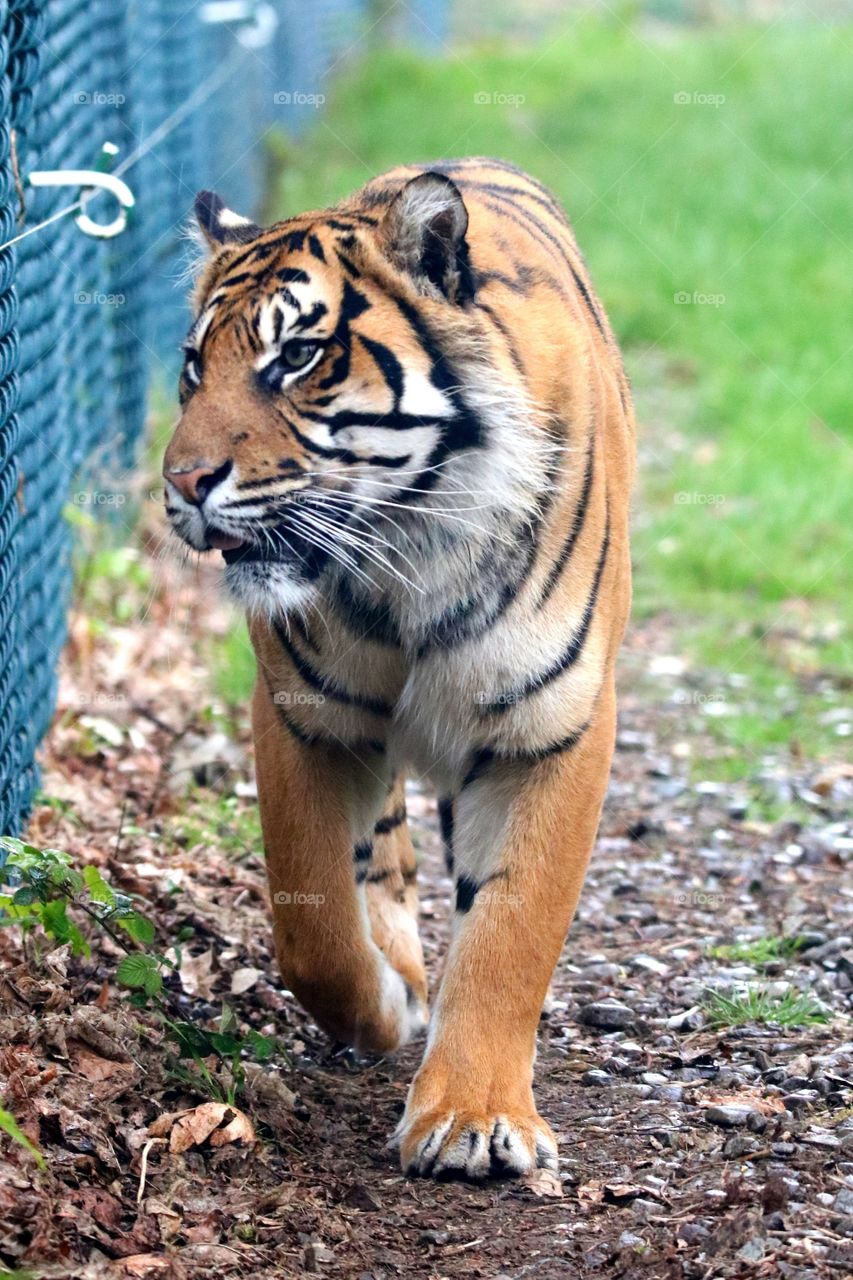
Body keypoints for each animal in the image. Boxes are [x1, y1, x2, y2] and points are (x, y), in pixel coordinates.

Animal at [163, 157, 634, 1181]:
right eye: (191, 367)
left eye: (296, 357)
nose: (181, 485)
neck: (408, 552)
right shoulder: (303, 714)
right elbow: (312, 923)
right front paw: (381, 1009)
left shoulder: (553, 727)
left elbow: (511, 928)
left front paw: (472, 1119)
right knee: (378, 850)